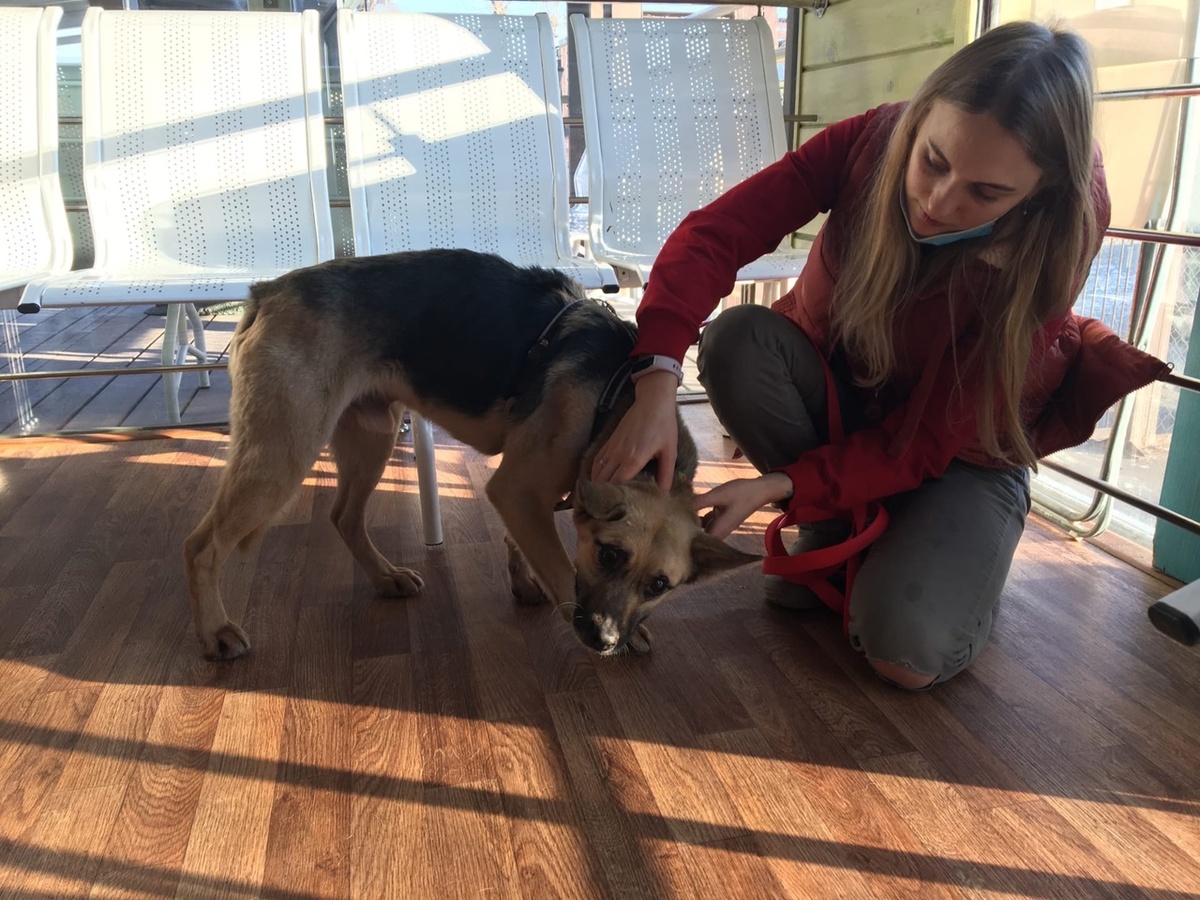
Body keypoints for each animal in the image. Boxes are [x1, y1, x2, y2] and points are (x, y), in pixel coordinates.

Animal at [182, 250, 753, 657]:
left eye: (660, 585)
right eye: (609, 555)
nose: (605, 642)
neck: (614, 393)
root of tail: (266, 291)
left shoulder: (522, 492)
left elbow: (521, 541)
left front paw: (524, 581)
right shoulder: (518, 489)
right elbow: (560, 568)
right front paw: (569, 607)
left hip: (371, 438)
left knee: (345, 517)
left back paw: (385, 578)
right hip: (284, 454)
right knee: (201, 545)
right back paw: (215, 632)